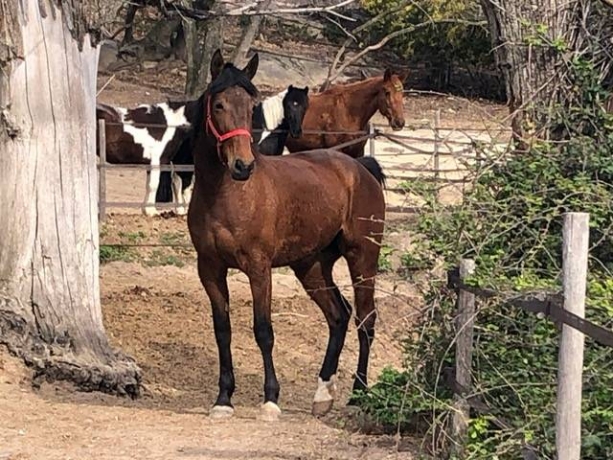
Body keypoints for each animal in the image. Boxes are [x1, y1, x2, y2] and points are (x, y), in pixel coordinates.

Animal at [188, 49, 388, 420]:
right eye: (219, 104)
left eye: (251, 104)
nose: (243, 165)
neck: (227, 196)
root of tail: (360, 168)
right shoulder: (209, 269)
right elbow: (223, 331)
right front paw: (223, 399)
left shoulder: (258, 268)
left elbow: (263, 330)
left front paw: (270, 400)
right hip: (311, 267)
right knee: (338, 315)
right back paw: (323, 395)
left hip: (363, 259)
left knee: (365, 320)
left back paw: (359, 393)